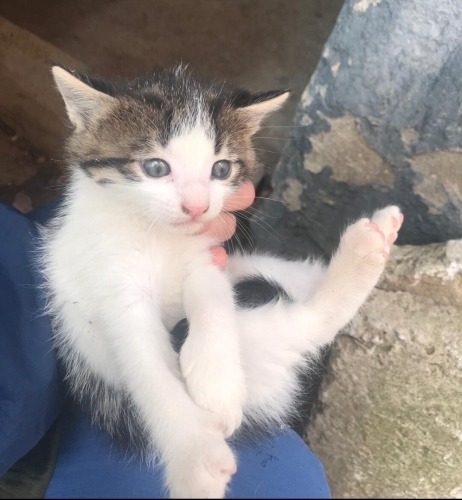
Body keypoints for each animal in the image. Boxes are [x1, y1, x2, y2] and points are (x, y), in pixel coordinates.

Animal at [39, 64, 403, 498]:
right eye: (155, 167)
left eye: (221, 169)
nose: (197, 206)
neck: (157, 233)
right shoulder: (113, 287)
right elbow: (148, 368)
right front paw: (195, 457)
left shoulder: (207, 257)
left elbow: (213, 302)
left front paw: (216, 381)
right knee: (307, 325)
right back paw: (369, 248)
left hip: (253, 273)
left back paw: (376, 239)